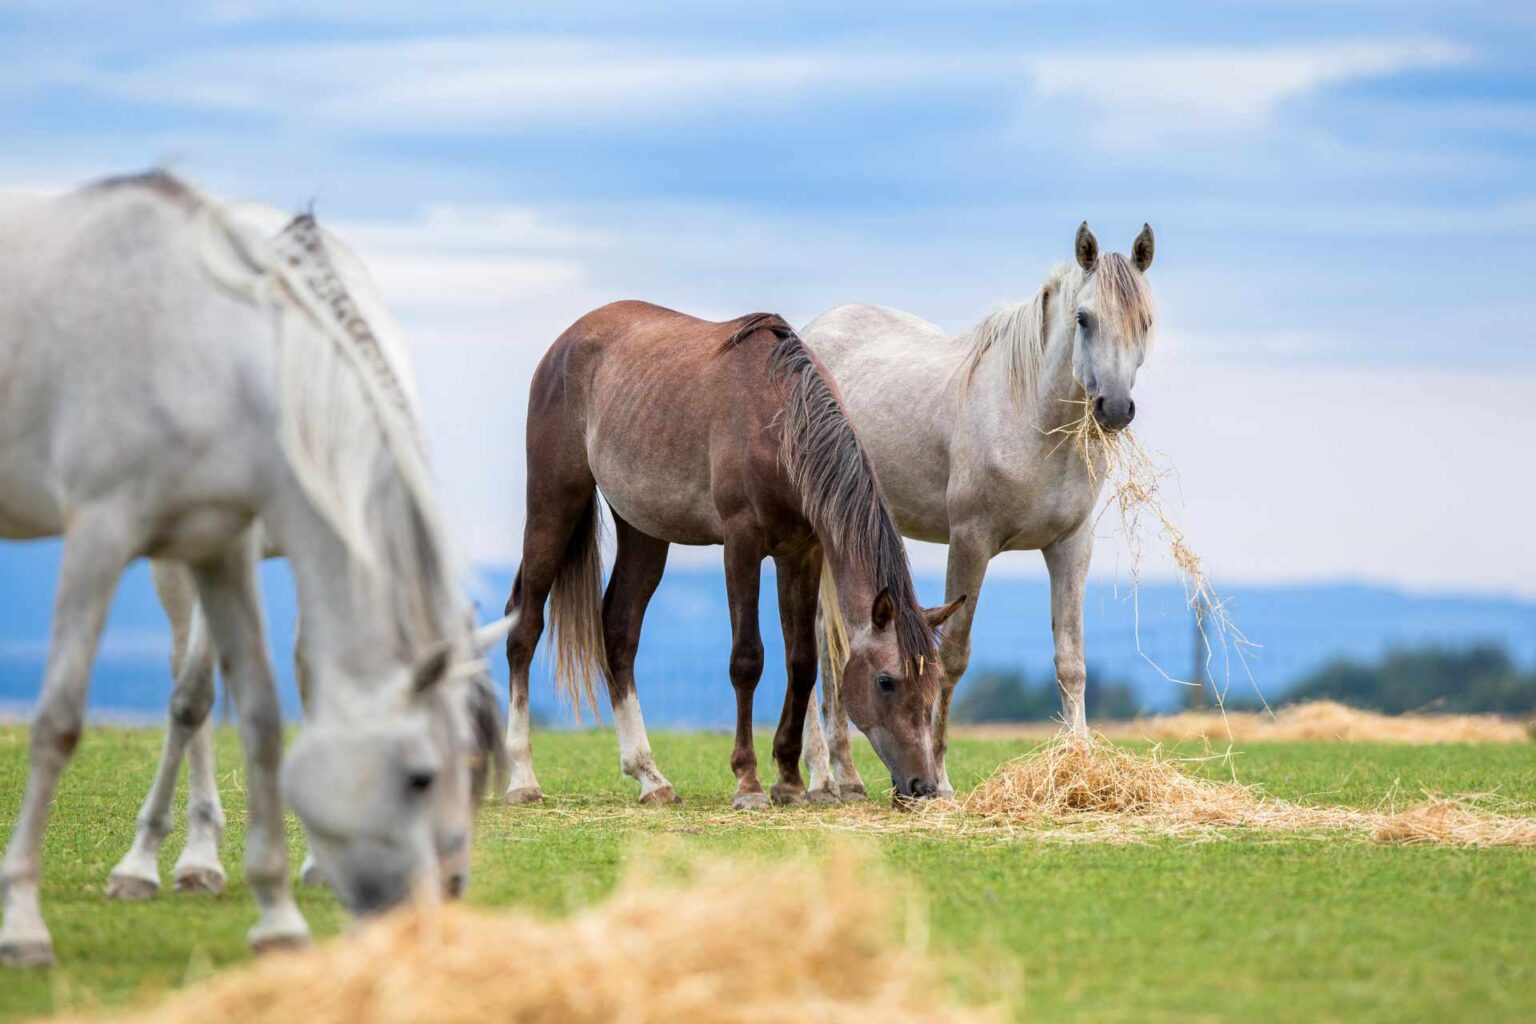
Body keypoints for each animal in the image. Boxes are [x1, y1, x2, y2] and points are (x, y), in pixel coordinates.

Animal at [0, 171, 500, 964]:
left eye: (482, 766)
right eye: (425, 775)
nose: (447, 889)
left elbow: (295, 690)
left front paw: (312, 865)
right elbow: (193, 699)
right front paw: (156, 862)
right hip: (169, 564)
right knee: (189, 693)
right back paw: (179, 859)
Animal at [503, 300, 958, 810]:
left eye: (933, 682)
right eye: (886, 681)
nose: (923, 786)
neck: (780, 420)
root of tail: (567, 341)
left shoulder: (802, 552)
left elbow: (802, 661)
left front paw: (789, 781)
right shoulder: (741, 545)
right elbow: (747, 659)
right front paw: (749, 783)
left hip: (643, 531)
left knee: (619, 631)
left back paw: (650, 777)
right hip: (554, 502)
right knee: (524, 626)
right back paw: (522, 779)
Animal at [804, 224, 1155, 798]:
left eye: (1145, 321)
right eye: (1084, 318)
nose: (1115, 408)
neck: (1029, 416)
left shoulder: (1070, 546)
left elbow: (1071, 660)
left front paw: (1081, 765)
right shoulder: (971, 541)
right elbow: (951, 658)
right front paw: (941, 778)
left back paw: (842, 776)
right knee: (815, 644)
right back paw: (822, 776)